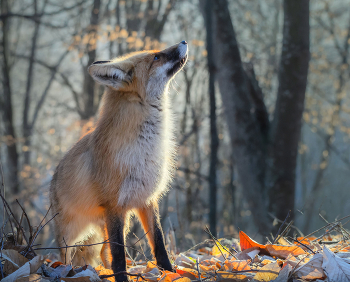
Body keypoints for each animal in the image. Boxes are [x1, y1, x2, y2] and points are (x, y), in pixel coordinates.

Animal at [49, 40, 189, 280]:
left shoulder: (147, 199)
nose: (184, 42)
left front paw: (170, 273)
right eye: (156, 57)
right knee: (66, 257)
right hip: (70, 235)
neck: (144, 150)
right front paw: (123, 277)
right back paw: (67, 271)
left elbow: (159, 243)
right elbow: (119, 254)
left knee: (103, 253)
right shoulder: (114, 206)